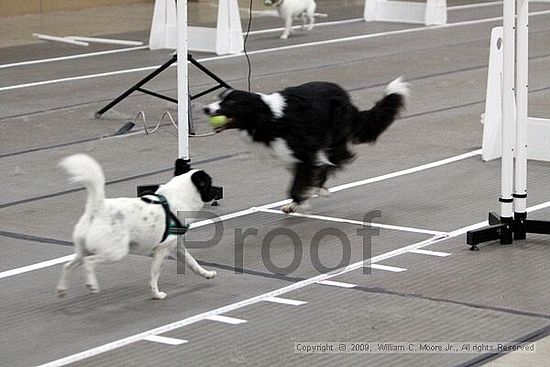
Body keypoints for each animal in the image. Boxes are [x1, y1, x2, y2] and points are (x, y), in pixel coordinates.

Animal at [56, 154, 219, 300]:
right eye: (210, 184)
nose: (218, 191)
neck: (178, 197)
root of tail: (97, 208)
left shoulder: (177, 247)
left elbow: (193, 263)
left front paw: (207, 274)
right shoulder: (161, 250)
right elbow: (154, 274)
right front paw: (156, 294)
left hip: (83, 250)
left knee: (67, 265)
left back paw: (62, 289)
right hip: (115, 252)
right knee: (88, 263)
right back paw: (92, 284)